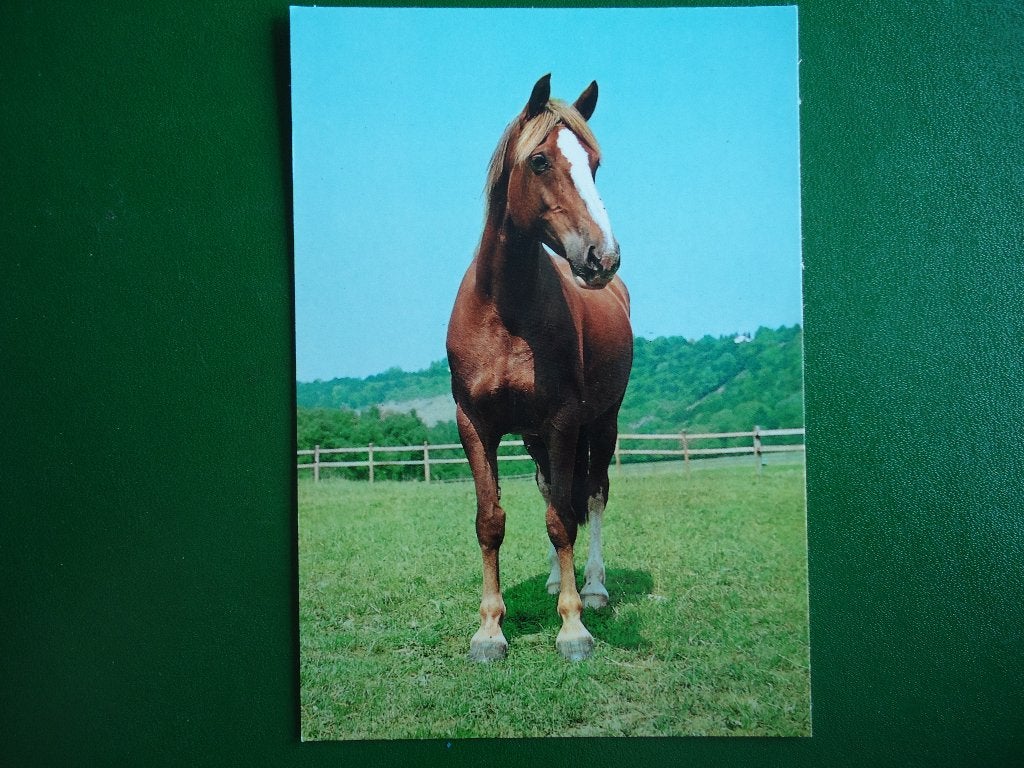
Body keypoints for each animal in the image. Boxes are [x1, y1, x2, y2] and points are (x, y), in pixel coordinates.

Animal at [446, 75, 633, 661]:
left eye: (594, 163)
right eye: (540, 161)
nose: (602, 257)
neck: (506, 311)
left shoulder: (565, 421)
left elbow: (564, 520)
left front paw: (573, 627)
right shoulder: (475, 426)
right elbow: (491, 521)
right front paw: (489, 629)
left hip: (603, 422)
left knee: (591, 495)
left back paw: (591, 588)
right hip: (533, 437)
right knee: (554, 489)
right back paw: (556, 580)